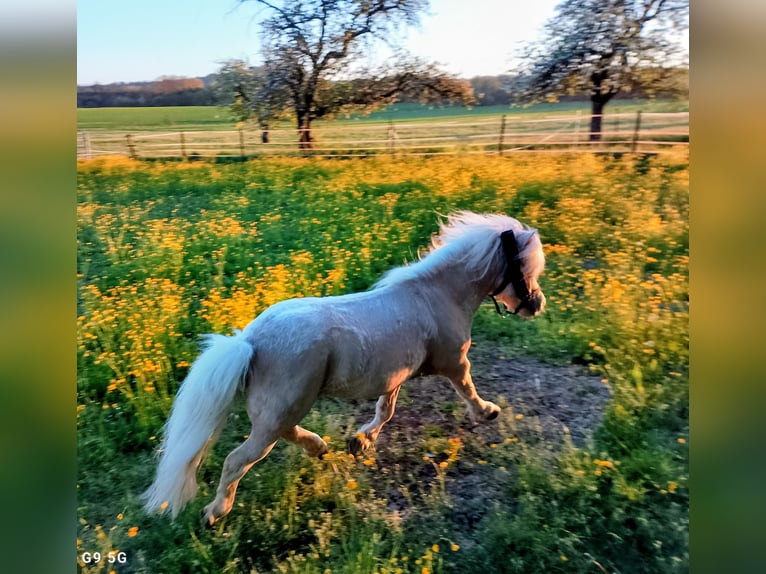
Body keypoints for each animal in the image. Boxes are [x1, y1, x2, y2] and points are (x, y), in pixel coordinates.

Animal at [142, 211, 547, 526]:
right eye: (523, 267)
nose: (537, 304)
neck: (437, 296)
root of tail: (250, 341)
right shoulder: (454, 361)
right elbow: (467, 389)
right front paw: (488, 412)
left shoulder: (395, 376)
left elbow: (385, 409)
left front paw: (360, 440)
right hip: (280, 412)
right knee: (237, 460)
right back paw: (214, 513)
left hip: (281, 411)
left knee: (286, 433)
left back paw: (320, 448)